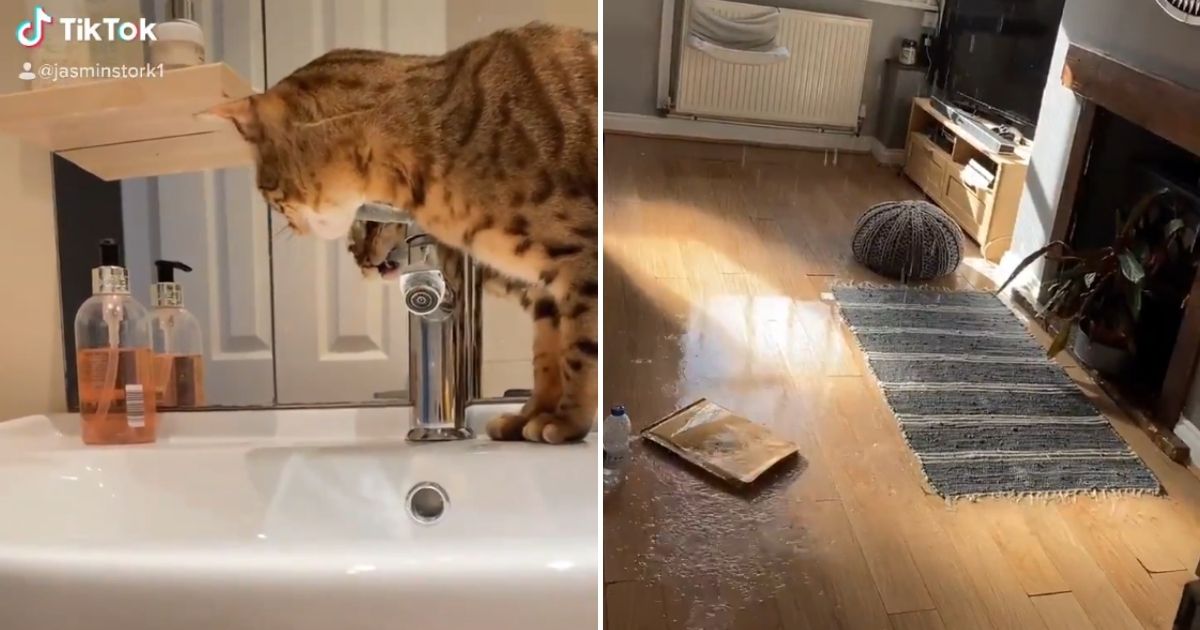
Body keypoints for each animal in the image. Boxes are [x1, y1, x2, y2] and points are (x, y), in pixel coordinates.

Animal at [208, 23, 600, 441]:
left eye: (268, 191)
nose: (361, 261)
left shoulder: (581, 263)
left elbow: (579, 352)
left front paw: (567, 421)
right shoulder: (546, 292)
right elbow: (547, 358)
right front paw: (531, 415)